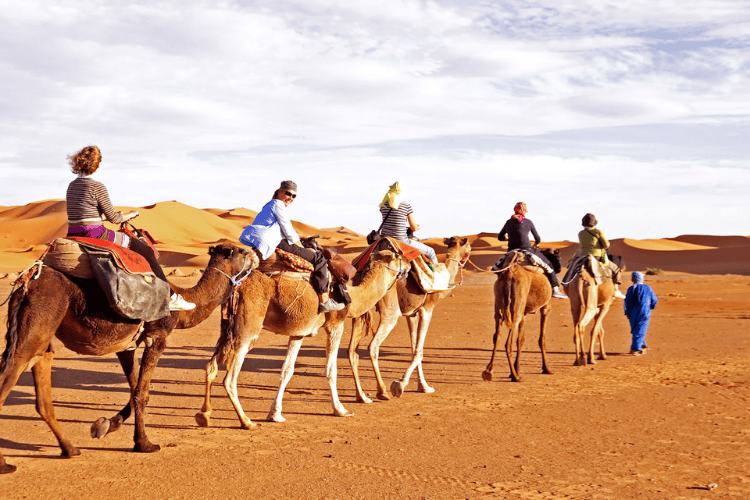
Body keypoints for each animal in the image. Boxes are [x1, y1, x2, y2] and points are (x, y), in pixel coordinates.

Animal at [0, 243, 256, 474]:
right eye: (240, 251)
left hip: (45, 339)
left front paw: (105, 426)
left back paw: (70, 449)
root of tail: (26, 283)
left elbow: (137, 391)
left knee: (42, 393)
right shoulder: (157, 337)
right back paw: (5, 464)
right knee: (9, 375)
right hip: (39, 320)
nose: (256, 255)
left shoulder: (127, 345)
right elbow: (141, 393)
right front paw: (144, 444)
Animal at [195, 243, 409, 428]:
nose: (408, 265)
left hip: (227, 328)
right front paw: (340, 409)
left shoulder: (299, 333)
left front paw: (275, 414)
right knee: (230, 379)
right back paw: (246, 421)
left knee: (211, 366)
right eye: (399, 256)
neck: (353, 295)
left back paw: (204, 415)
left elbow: (287, 370)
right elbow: (331, 370)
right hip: (247, 329)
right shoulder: (335, 324)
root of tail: (237, 285)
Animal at [348, 236, 471, 403]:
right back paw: (382, 391)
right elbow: (419, 351)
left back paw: (361, 396)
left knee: (352, 351)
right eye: (468, 246)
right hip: (390, 309)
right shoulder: (427, 309)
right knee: (373, 346)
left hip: (360, 307)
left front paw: (423, 386)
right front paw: (399, 385)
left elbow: (414, 348)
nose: (468, 255)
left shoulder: (411, 314)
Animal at [481, 249, 562, 383]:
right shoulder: (546, 307)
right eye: (558, 257)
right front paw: (546, 368)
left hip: (501, 303)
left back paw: (489, 371)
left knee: (497, 336)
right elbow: (542, 339)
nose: (560, 268)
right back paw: (515, 377)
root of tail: (510, 273)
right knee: (508, 343)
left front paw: (517, 368)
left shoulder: (524, 312)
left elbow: (520, 340)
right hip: (516, 307)